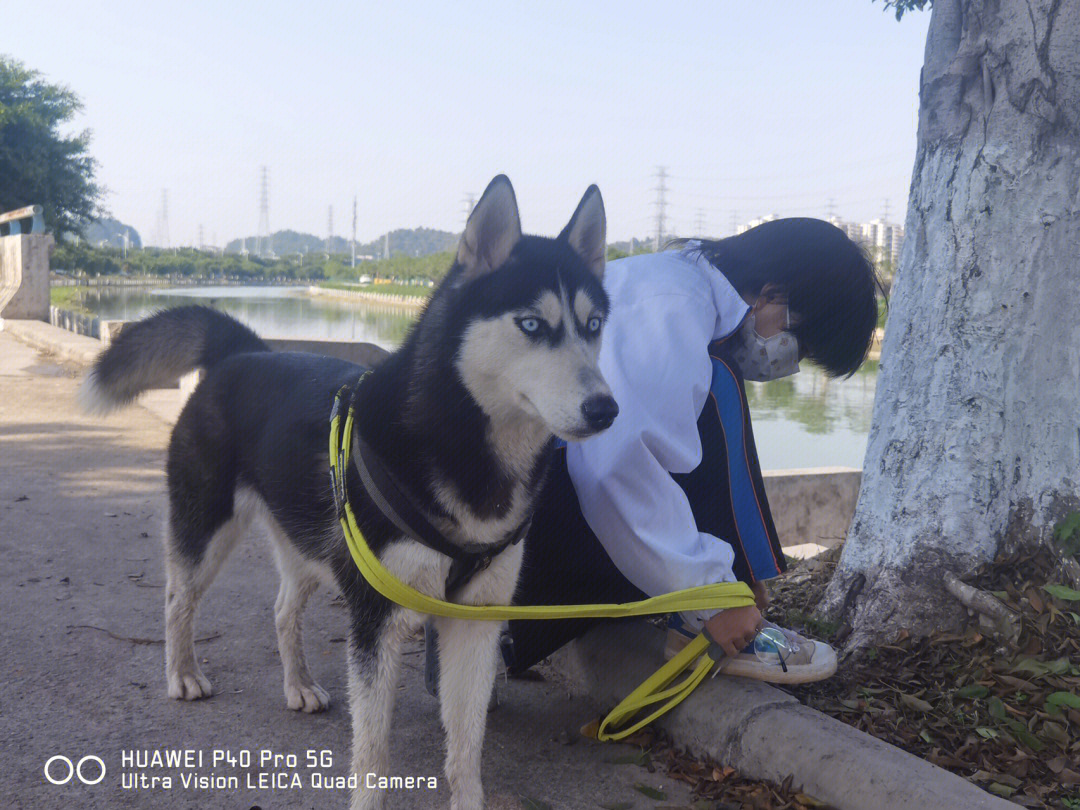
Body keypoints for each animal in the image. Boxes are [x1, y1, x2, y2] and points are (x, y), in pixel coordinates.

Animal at [82, 176, 617, 807]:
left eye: (594, 326)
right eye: (533, 325)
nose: (606, 409)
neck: (465, 449)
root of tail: (244, 351)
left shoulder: (477, 621)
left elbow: (465, 748)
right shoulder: (374, 620)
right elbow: (373, 753)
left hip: (310, 544)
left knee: (283, 609)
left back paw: (299, 685)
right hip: (207, 528)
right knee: (176, 599)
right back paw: (182, 673)